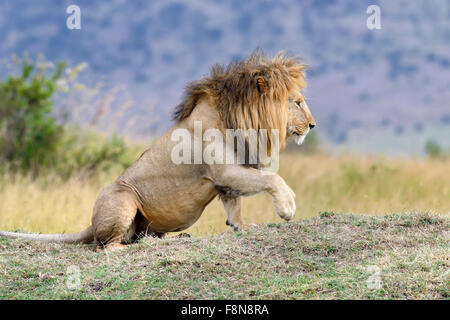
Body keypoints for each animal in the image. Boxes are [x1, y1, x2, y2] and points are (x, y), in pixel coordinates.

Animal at [0, 50, 316, 251]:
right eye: (298, 102)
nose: (313, 125)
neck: (239, 119)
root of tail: (91, 223)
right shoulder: (225, 170)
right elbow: (272, 179)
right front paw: (287, 207)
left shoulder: (226, 179)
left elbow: (234, 206)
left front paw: (242, 227)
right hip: (124, 197)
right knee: (106, 246)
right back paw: (137, 246)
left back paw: (168, 239)